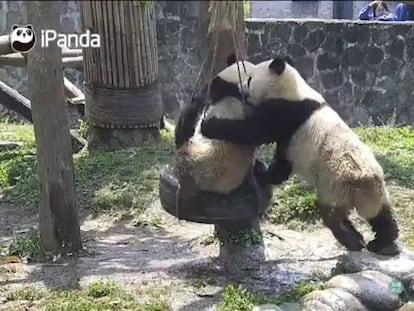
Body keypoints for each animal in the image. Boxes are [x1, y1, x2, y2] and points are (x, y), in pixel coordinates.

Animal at [201, 56, 402, 256]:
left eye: (250, 79)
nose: (242, 89)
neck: (292, 88)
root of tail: (362, 179)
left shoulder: (285, 113)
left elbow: (253, 131)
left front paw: (210, 125)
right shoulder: (290, 137)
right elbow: (282, 165)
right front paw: (262, 170)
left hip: (335, 185)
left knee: (333, 216)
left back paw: (353, 240)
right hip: (374, 190)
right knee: (380, 214)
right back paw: (384, 242)